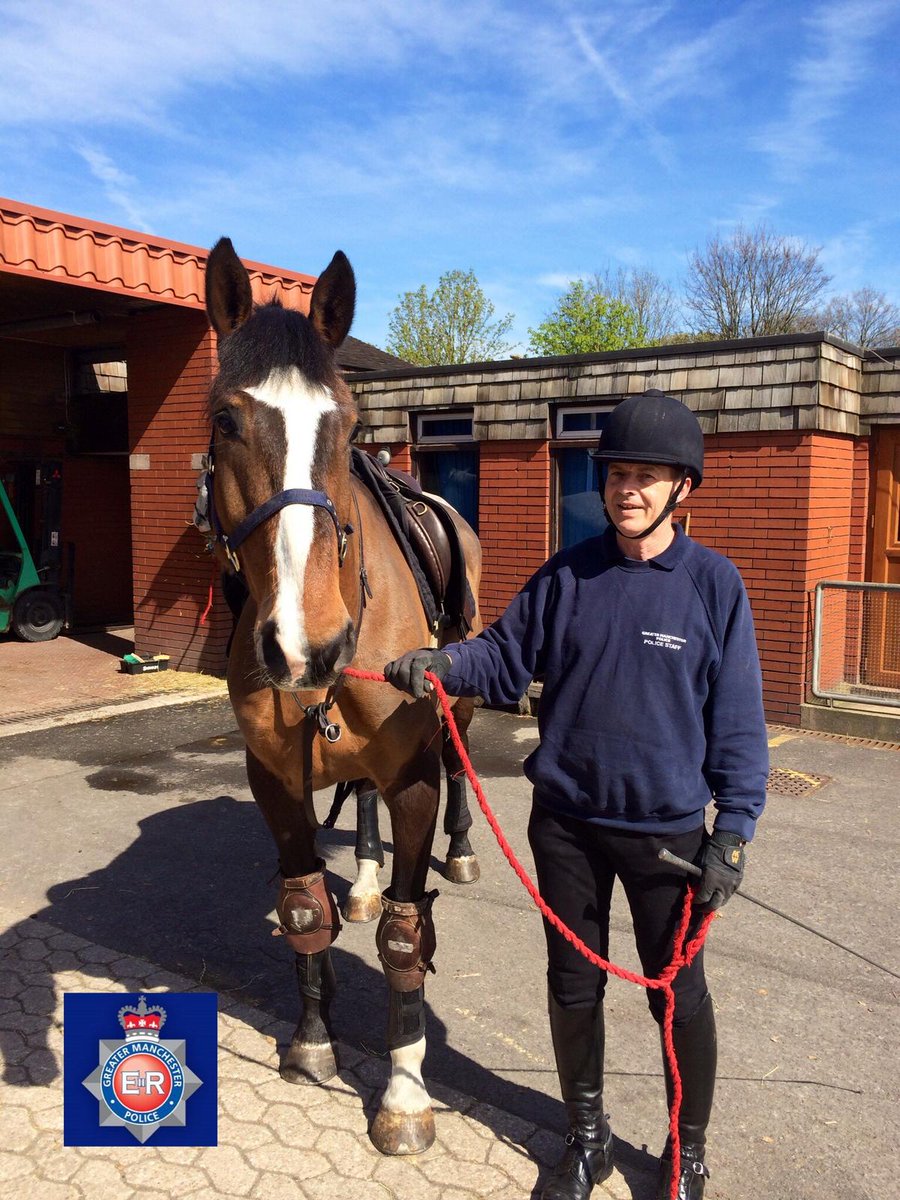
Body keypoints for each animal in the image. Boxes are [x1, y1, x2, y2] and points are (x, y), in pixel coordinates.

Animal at [202, 238, 483, 1155]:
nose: (308, 644)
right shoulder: (276, 782)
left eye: (350, 425)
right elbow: (302, 912)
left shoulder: (414, 782)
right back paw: (359, 876)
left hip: (458, 710)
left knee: (459, 775)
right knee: (355, 799)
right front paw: (313, 1040)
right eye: (225, 421)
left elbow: (405, 936)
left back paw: (461, 850)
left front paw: (404, 1092)